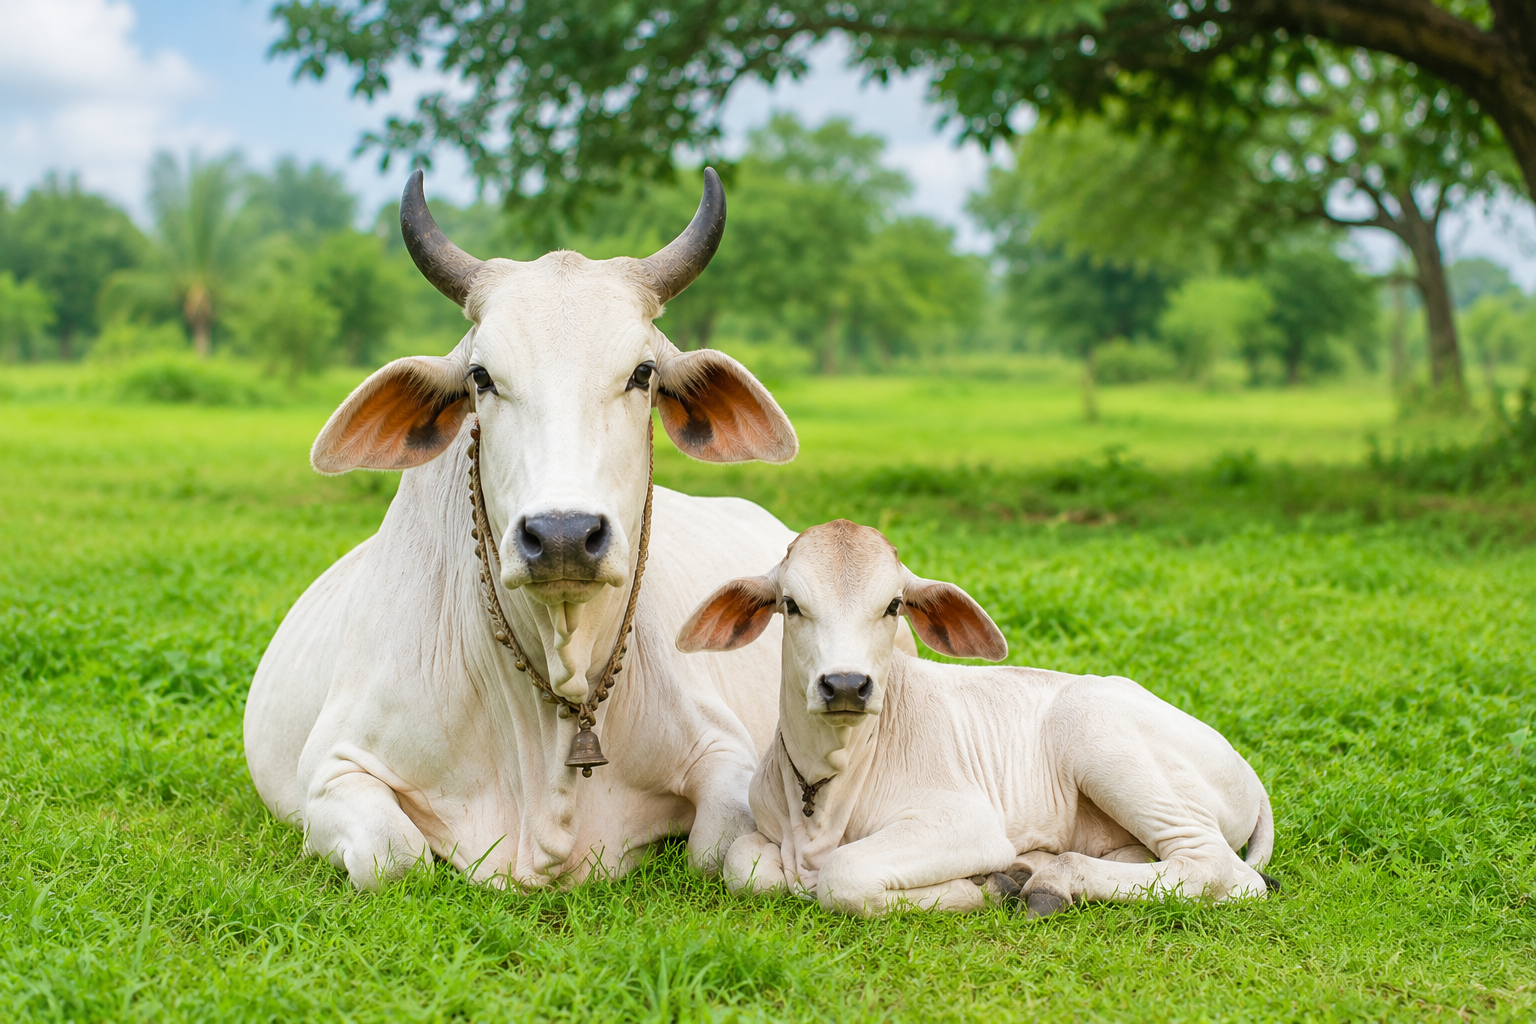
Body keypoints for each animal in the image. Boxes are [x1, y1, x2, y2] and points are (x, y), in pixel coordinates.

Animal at [244, 169, 819, 889]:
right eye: (481, 377)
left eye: (642, 373)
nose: (564, 535)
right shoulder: (334, 768)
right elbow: (394, 857)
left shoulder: (725, 752)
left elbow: (723, 849)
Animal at [676, 519, 1277, 918]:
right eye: (791, 604)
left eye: (893, 605)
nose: (845, 684)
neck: (824, 789)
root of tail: (1247, 771)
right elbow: (744, 865)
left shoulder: (965, 822)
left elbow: (843, 876)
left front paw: (976, 888)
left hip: (1096, 732)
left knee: (1220, 870)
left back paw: (1044, 880)